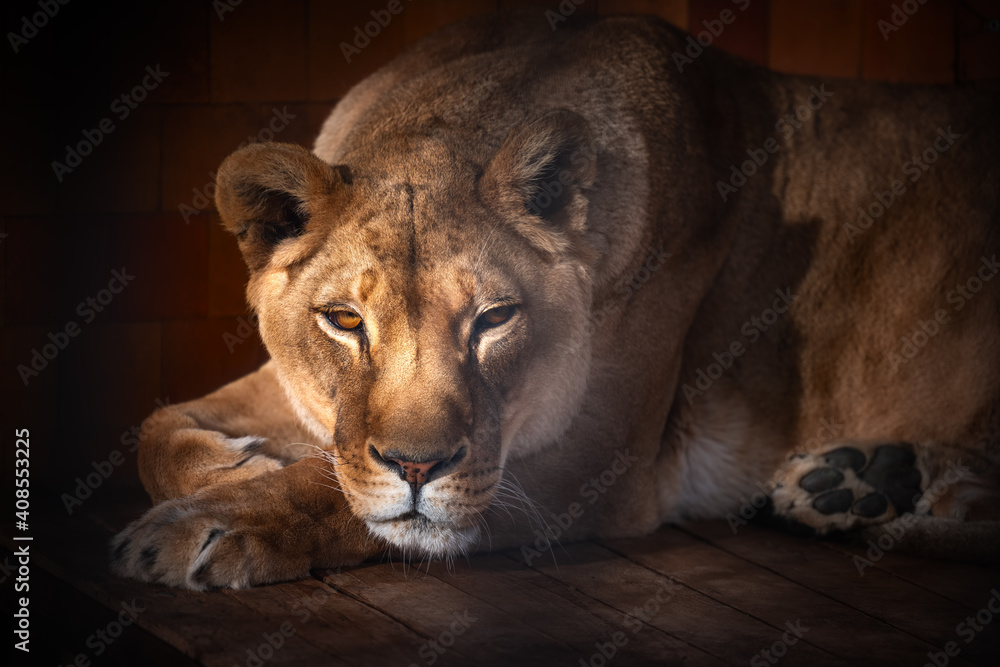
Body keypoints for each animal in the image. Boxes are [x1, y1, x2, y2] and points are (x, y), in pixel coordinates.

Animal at [111, 11, 1000, 590]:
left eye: (495, 320)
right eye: (344, 321)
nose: (417, 466)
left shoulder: (591, 461)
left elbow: (341, 497)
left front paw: (209, 522)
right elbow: (155, 425)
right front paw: (239, 463)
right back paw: (860, 484)